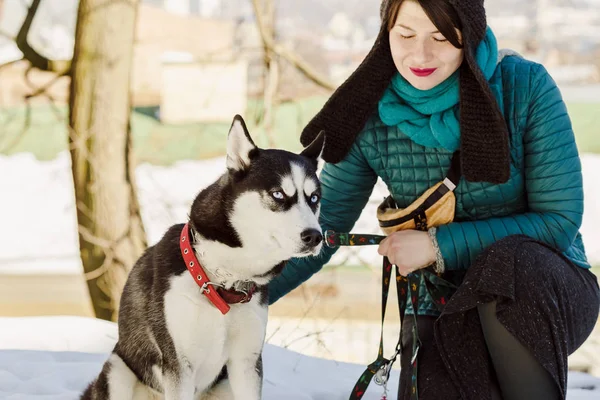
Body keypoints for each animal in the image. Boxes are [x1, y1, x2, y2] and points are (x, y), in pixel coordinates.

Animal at [82, 114, 326, 398]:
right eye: (278, 193)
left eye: (314, 198)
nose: (314, 236)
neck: (223, 282)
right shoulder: (179, 363)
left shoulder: (246, 362)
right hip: (117, 371)